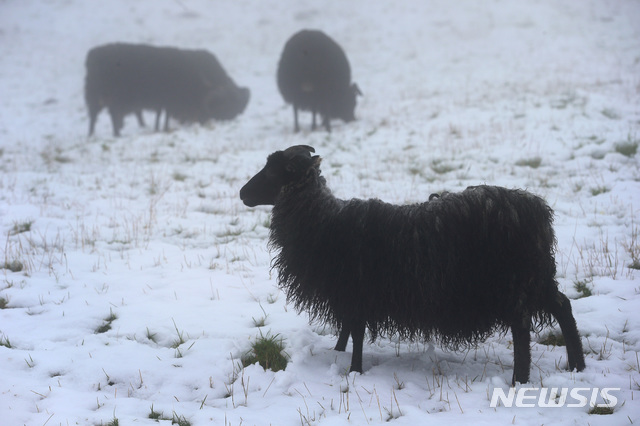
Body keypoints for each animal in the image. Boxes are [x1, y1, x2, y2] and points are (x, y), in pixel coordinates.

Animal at [86, 43, 251, 136]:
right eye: (225, 104)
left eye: (237, 104)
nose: (230, 120)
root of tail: (92, 56)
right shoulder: (169, 101)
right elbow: (164, 116)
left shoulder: (166, 103)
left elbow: (162, 116)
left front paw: (160, 128)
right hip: (105, 99)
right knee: (105, 117)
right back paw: (109, 134)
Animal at [240, 145, 584, 384]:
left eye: (274, 170)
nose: (243, 193)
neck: (323, 222)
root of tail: (536, 209)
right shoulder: (351, 292)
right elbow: (348, 328)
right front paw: (337, 354)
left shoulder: (357, 289)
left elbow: (356, 332)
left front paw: (354, 371)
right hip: (536, 277)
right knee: (563, 306)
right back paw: (578, 366)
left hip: (511, 282)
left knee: (523, 328)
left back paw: (519, 380)